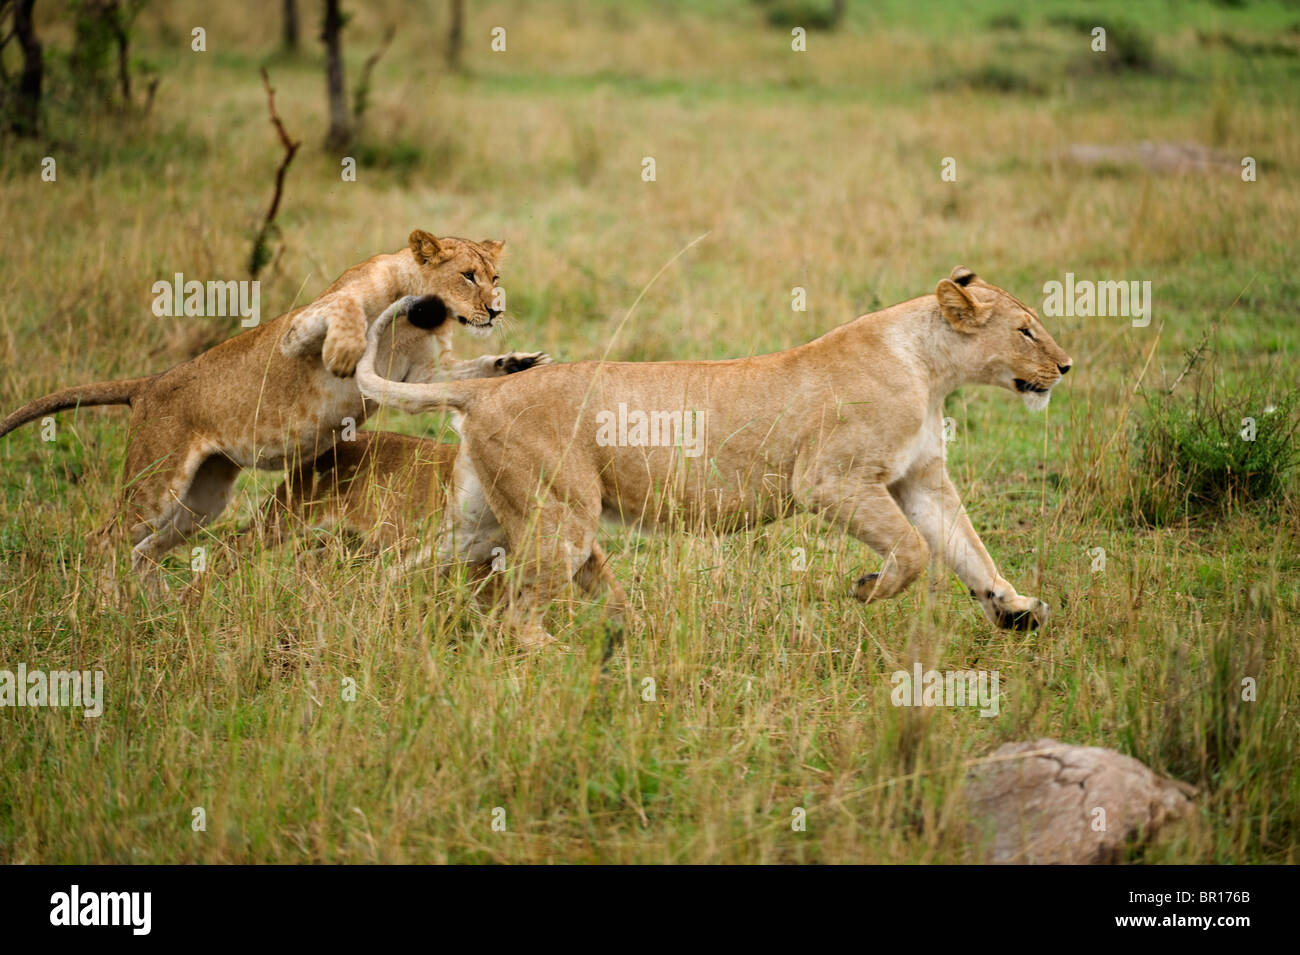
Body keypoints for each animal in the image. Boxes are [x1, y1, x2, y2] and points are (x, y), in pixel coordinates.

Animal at [0, 233, 548, 589]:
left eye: (494, 276)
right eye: (468, 276)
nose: (496, 309)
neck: (417, 318)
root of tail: (150, 383)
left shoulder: (421, 377)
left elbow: (470, 371)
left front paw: (516, 362)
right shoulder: (300, 327)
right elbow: (347, 310)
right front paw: (345, 354)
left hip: (199, 501)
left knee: (143, 550)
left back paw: (147, 608)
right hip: (156, 485)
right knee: (105, 539)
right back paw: (104, 606)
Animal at [356, 267, 1073, 650]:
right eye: (1025, 330)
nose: (1067, 367)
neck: (930, 368)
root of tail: (484, 389)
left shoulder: (921, 479)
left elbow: (968, 550)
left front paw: (1014, 610)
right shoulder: (828, 480)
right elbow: (916, 551)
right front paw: (868, 588)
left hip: (484, 523)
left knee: (398, 569)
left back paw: (366, 622)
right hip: (561, 518)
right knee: (518, 617)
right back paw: (568, 655)